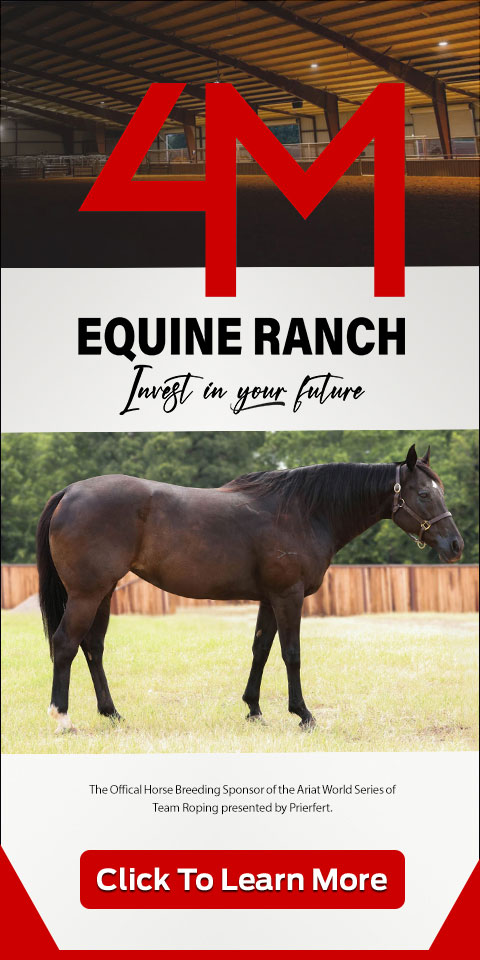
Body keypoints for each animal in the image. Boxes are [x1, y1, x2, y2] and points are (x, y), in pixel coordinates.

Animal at [37, 443, 463, 734]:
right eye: (424, 494)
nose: (456, 545)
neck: (305, 511)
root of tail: (70, 491)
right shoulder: (289, 596)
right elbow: (291, 654)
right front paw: (303, 714)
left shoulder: (269, 599)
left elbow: (261, 650)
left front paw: (254, 710)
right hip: (87, 594)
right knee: (65, 644)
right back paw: (62, 717)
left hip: (104, 593)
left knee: (93, 647)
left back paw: (112, 713)